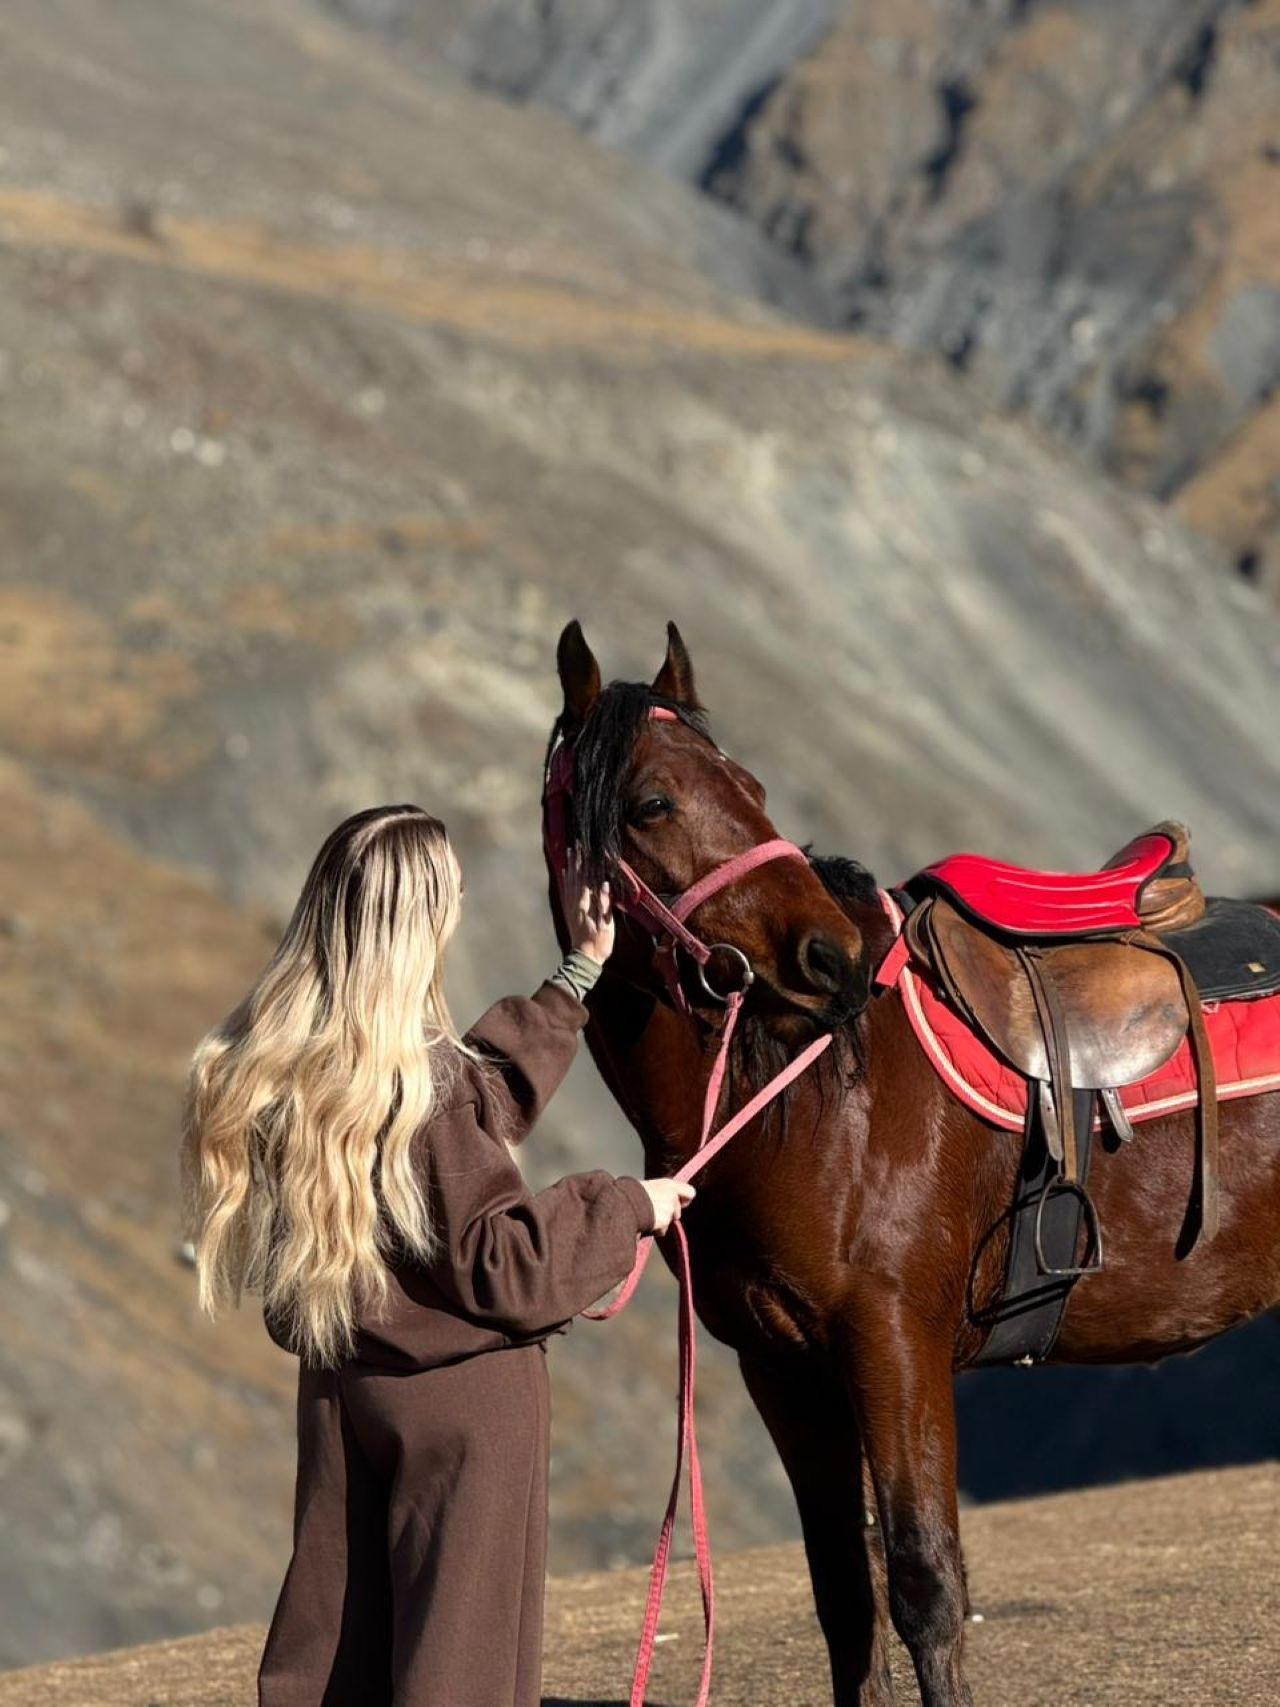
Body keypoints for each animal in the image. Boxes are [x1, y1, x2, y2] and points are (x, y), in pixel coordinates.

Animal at [541, 619, 1280, 1707]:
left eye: (750, 787)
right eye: (650, 804)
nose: (829, 959)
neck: (811, 1101)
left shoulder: (894, 1346)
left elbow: (926, 1583)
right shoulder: (781, 1367)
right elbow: (844, 1598)